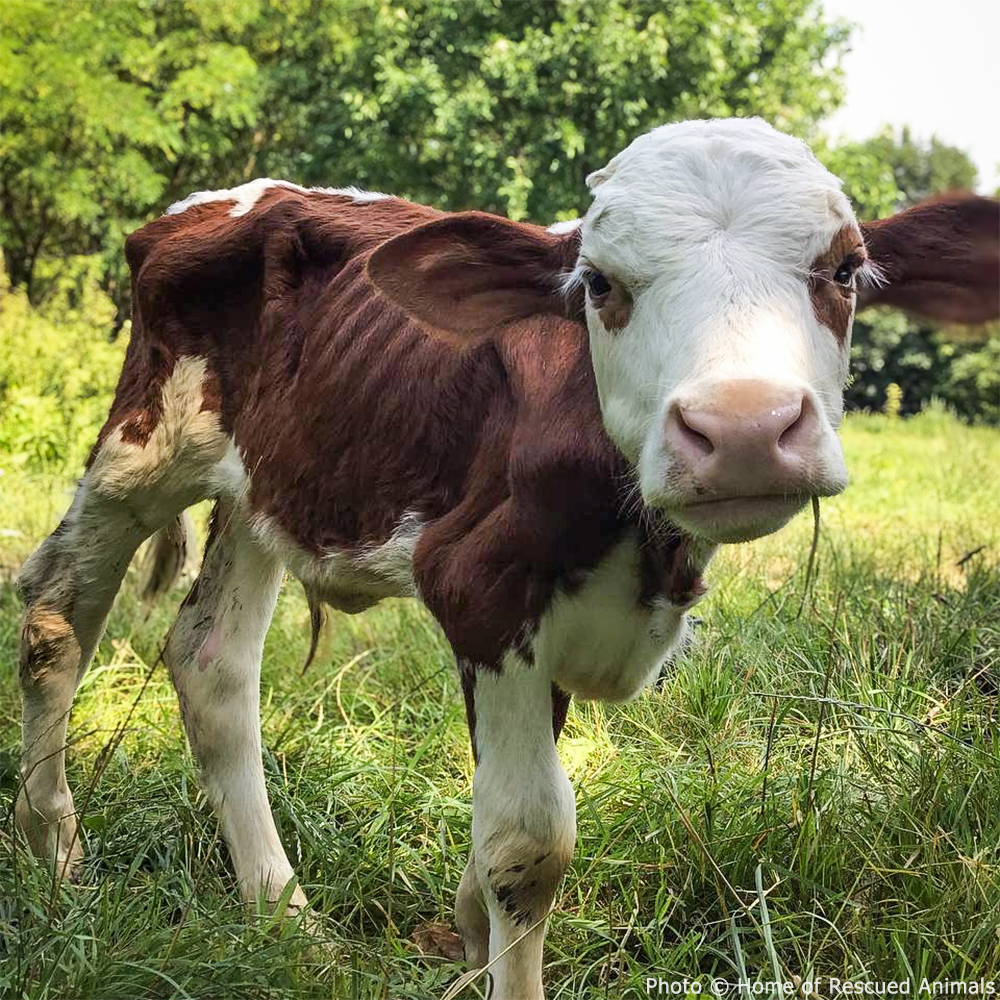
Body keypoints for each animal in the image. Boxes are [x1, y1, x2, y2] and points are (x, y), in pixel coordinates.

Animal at [16, 118, 999, 999]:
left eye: (844, 269)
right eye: (598, 284)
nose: (745, 427)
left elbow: (504, 817)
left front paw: (466, 936)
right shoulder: (479, 586)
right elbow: (528, 845)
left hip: (269, 486)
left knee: (211, 661)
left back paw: (286, 918)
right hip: (145, 448)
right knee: (56, 614)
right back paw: (55, 862)